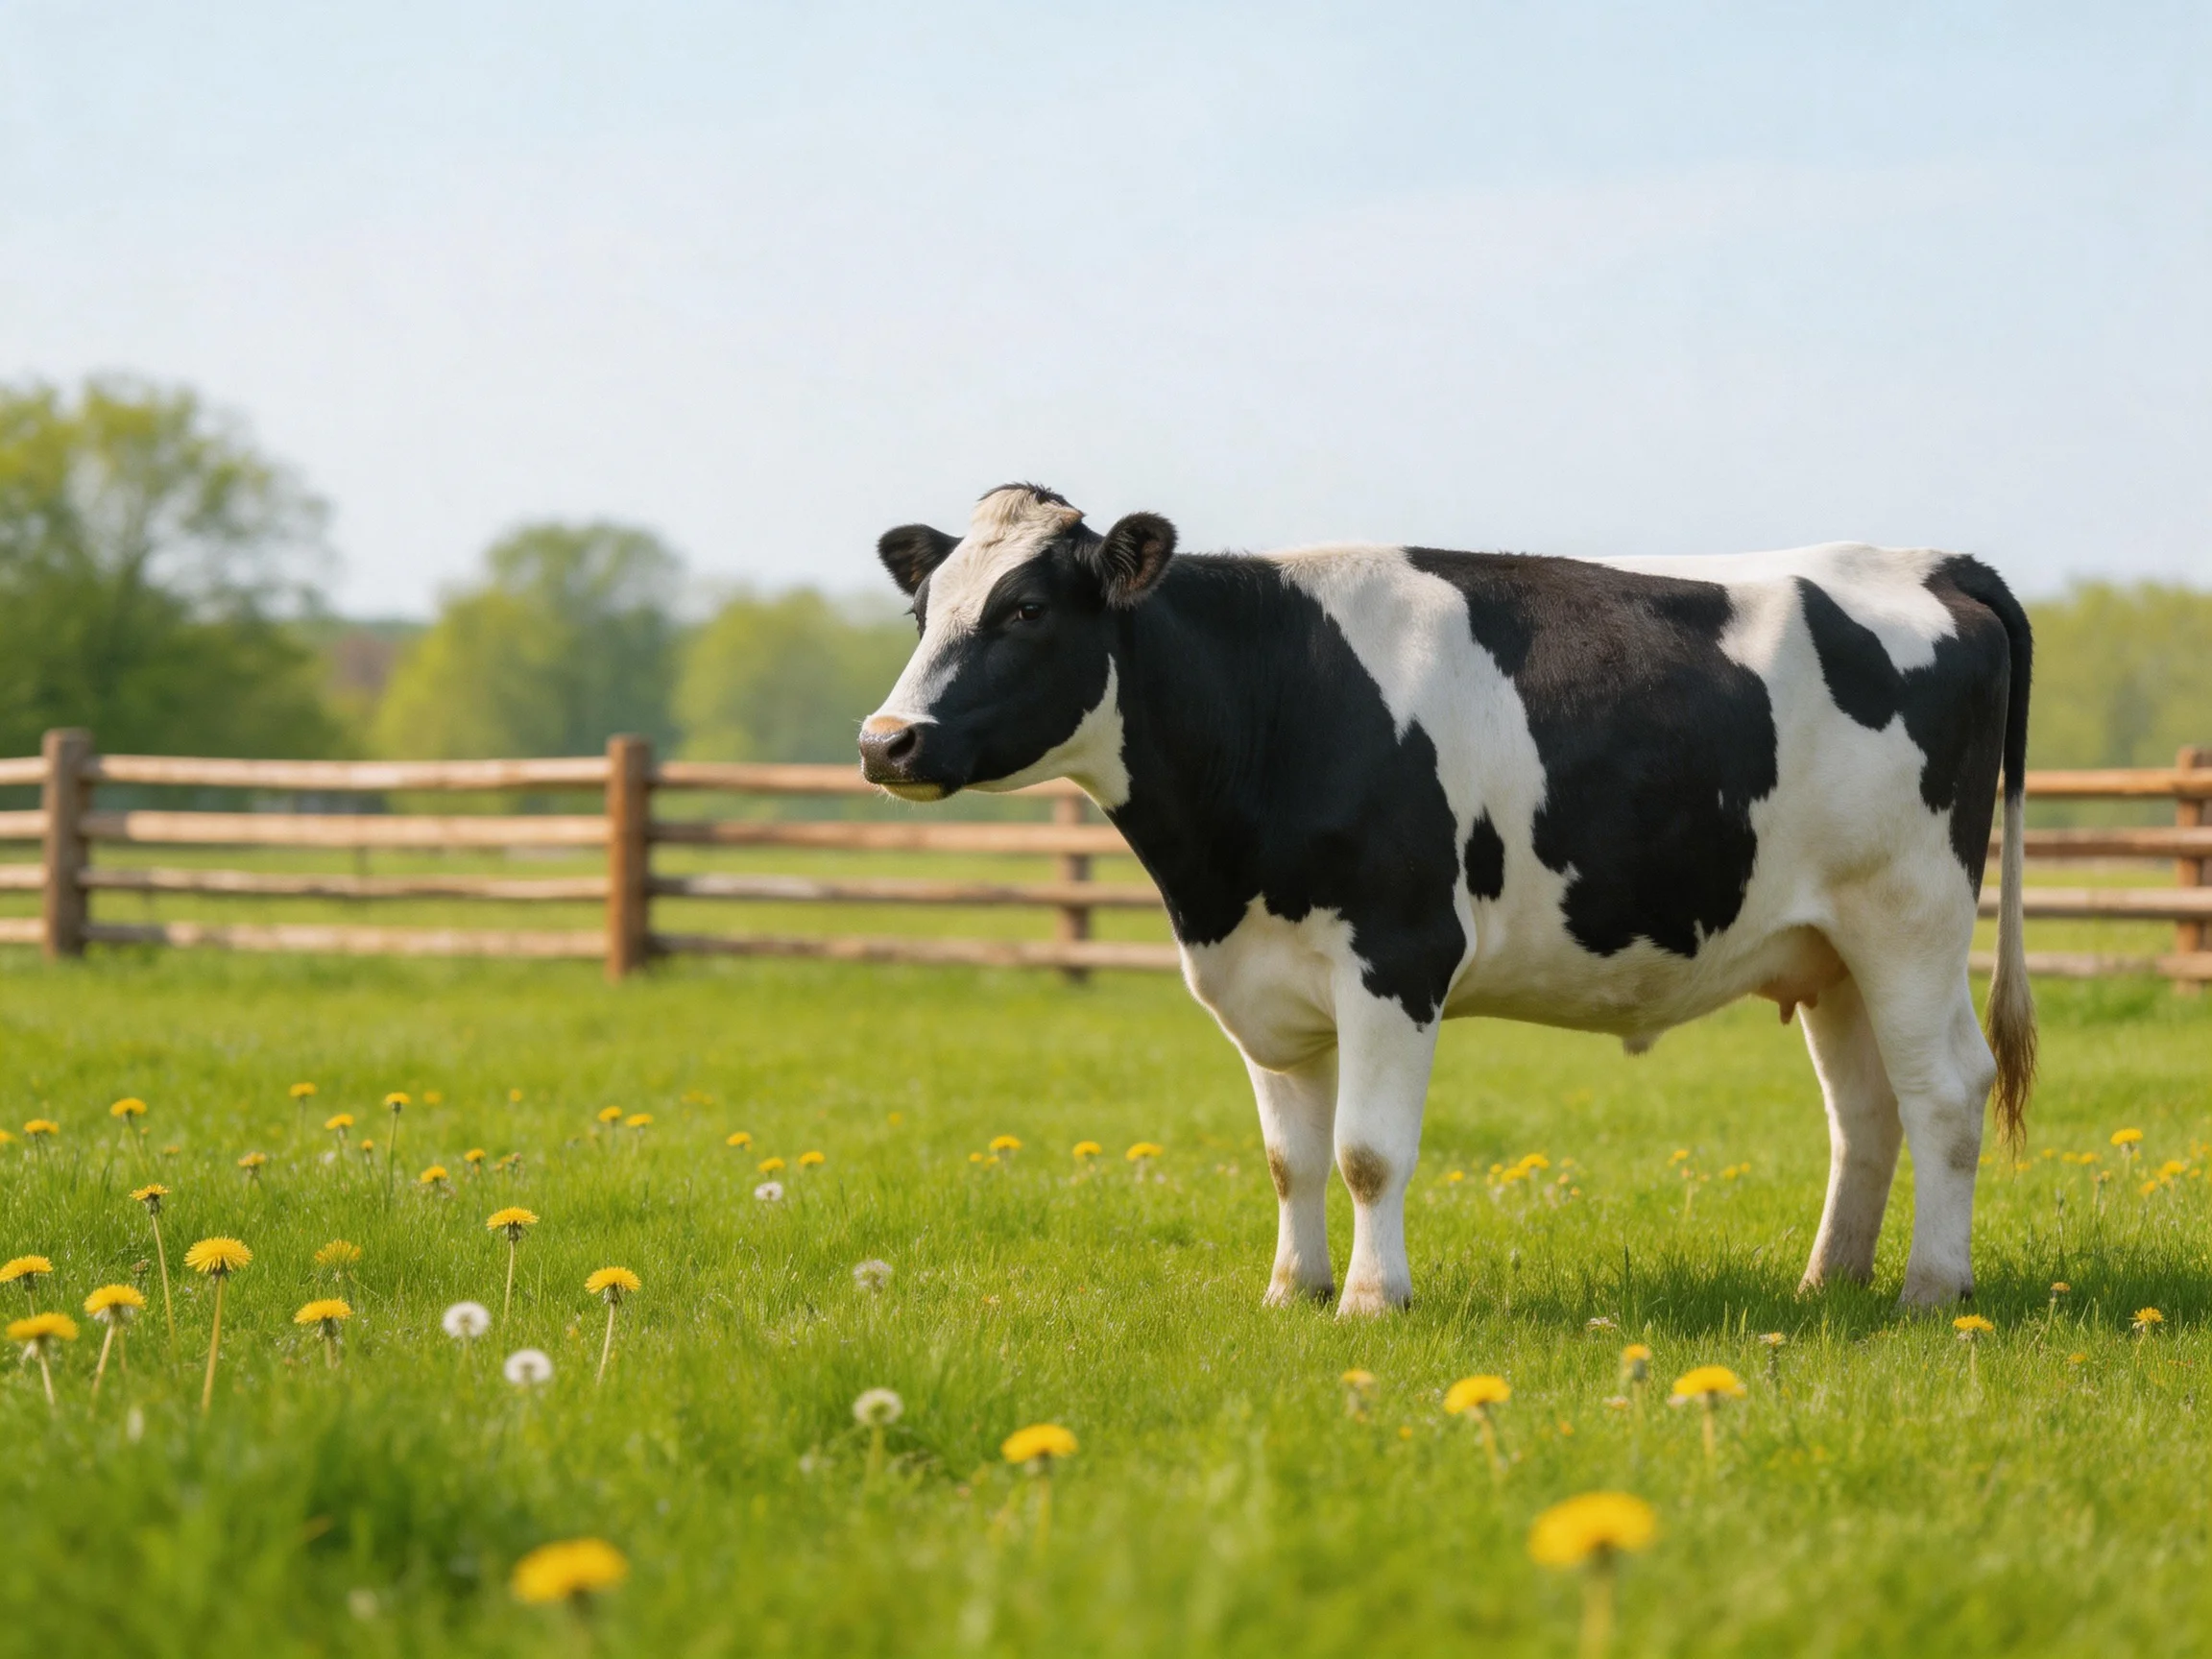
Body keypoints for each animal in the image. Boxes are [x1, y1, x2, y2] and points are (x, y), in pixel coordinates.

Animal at [859, 483, 2035, 1316]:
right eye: (922, 611)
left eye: (1023, 609)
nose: (885, 741)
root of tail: (1928, 560)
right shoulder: (1263, 978)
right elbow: (1290, 1158)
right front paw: (1291, 1293)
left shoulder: (1397, 952)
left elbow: (1367, 1152)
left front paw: (1374, 1302)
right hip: (1827, 946)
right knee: (1868, 1110)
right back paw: (1829, 1283)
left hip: (1911, 912)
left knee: (1948, 1090)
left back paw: (1934, 1289)